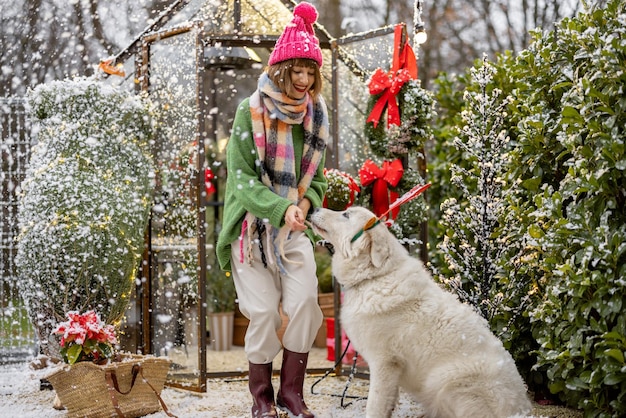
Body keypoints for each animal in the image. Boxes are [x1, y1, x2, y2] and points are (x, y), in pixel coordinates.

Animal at [310, 207, 528, 418]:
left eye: (346, 214)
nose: (314, 209)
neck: (375, 276)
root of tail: (521, 410)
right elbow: (389, 402)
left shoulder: (384, 363)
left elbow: (375, 404)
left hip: (445, 382)